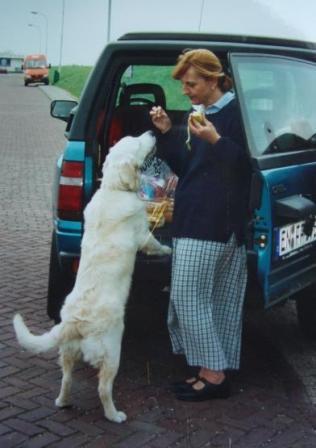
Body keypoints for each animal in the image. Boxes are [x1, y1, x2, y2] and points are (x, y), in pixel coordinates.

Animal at [12, 130, 170, 424]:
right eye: (137, 142)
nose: (152, 131)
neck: (112, 189)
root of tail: (73, 322)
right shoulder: (143, 233)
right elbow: (154, 244)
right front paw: (168, 249)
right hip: (112, 352)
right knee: (103, 389)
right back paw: (114, 415)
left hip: (68, 353)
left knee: (66, 379)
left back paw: (63, 401)